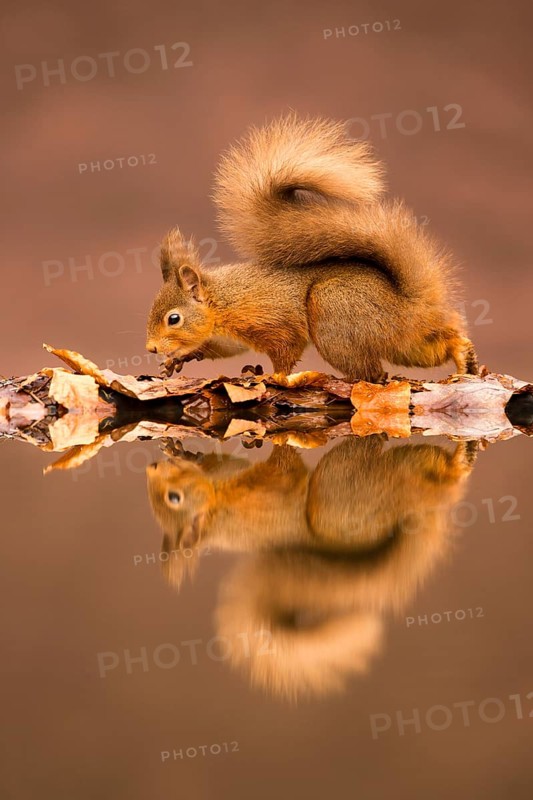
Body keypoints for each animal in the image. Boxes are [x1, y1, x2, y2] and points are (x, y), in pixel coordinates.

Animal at [146, 114, 478, 382]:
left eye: (173, 318)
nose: (150, 348)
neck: (222, 300)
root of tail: (411, 307)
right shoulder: (228, 336)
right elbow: (224, 347)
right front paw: (178, 359)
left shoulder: (272, 321)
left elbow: (285, 350)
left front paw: (273, 377)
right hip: (405, 345)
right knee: (431, 347)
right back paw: (464, 354)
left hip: (334, 313)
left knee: (373, 374)